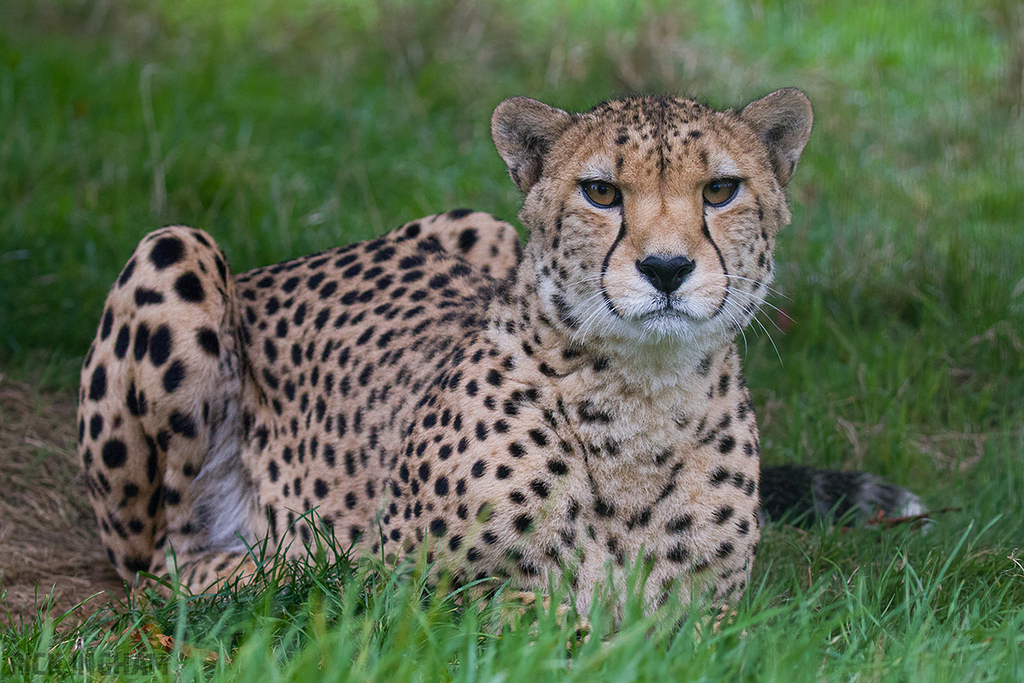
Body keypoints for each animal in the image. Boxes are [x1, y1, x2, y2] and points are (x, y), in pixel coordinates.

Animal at [77, 88, 923, 611]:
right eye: (600, 192)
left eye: (721, 191)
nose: (666, 268)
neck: (642, 401)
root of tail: (281, 264)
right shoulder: (407, 592)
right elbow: (544, 619)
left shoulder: (713, 616)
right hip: (176, 248)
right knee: (159, 560)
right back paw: (269, 566)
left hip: (476, 223)